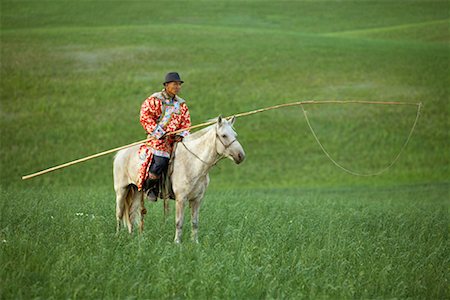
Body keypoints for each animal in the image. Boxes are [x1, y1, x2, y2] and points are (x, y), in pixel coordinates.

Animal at [114, 116, 244, 243]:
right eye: (224, 135)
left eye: (235, 134)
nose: (241, 156)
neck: (192, 162)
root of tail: (120, 153)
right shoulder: (181, 199)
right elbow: (179, 222)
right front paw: (177, 243)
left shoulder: (197, 199)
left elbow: (195, 222)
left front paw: (195, 243)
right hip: (121, 190)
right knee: (119, 214)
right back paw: (118, 236)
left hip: (136, 189)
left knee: (131, 214)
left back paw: (131, 237)